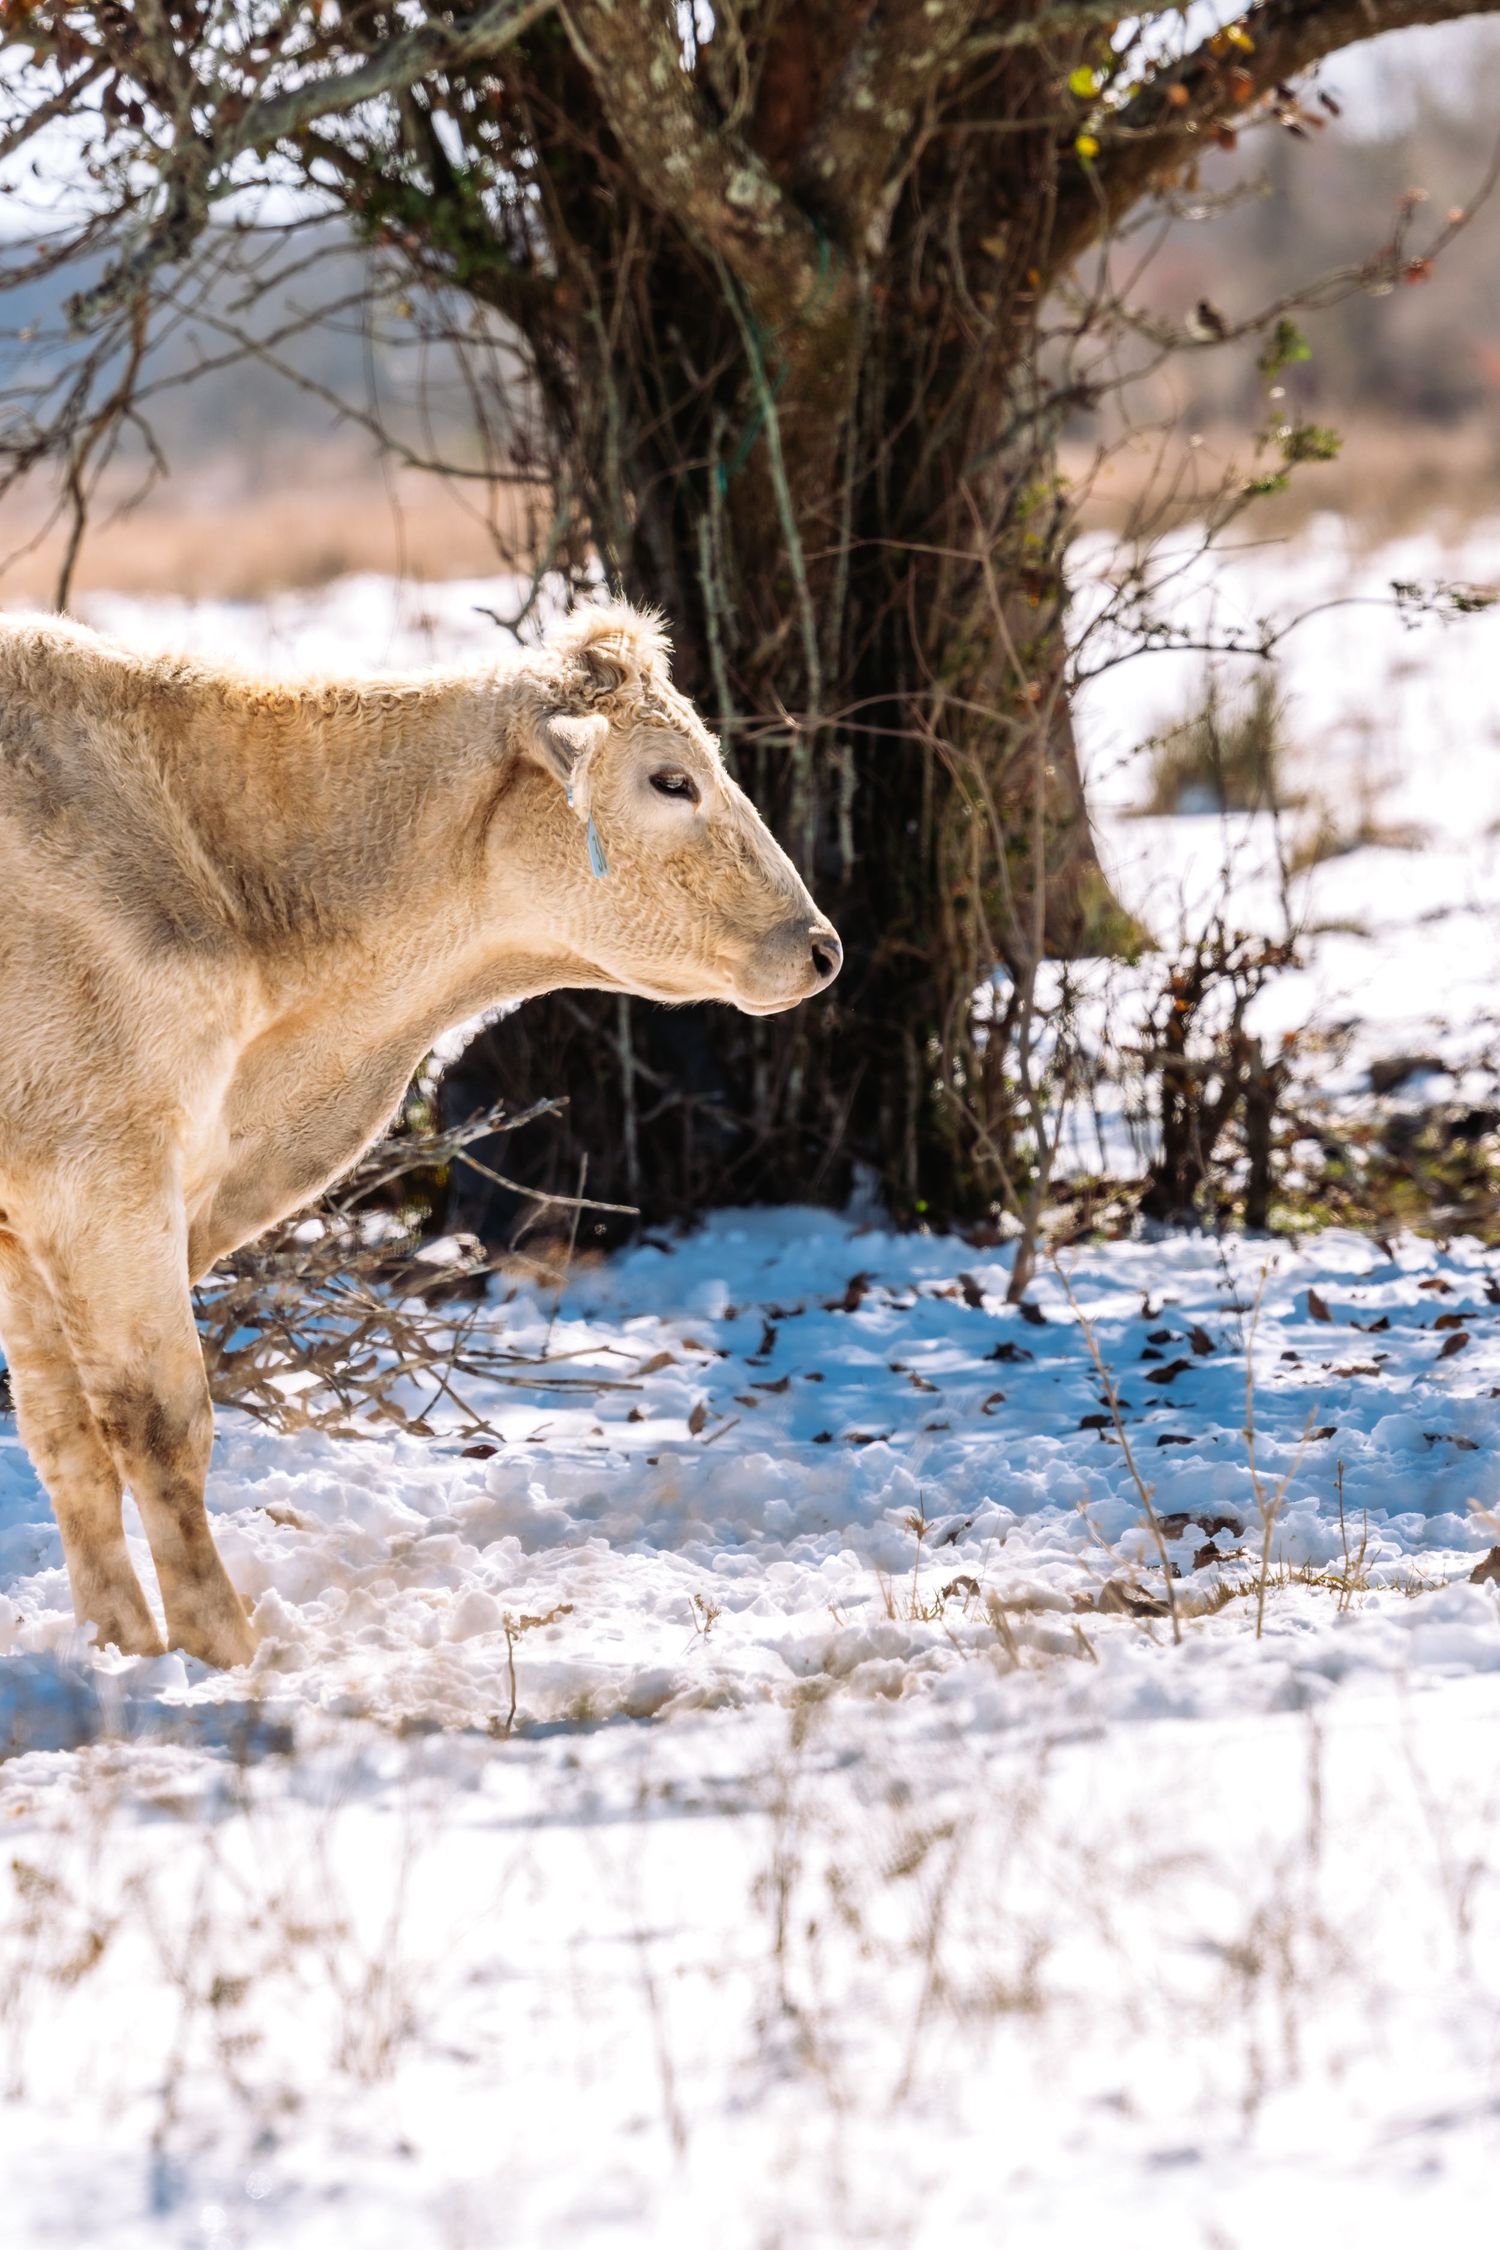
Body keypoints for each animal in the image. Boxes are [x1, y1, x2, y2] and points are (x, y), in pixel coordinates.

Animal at [0, 600, 841, 1668]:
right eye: (670, 779)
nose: (821, 947)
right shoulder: (102, 1178)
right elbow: (158, 1422)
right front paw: (222, 1649)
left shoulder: (33, 1220)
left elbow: (64, 1434)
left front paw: (121, 1650)